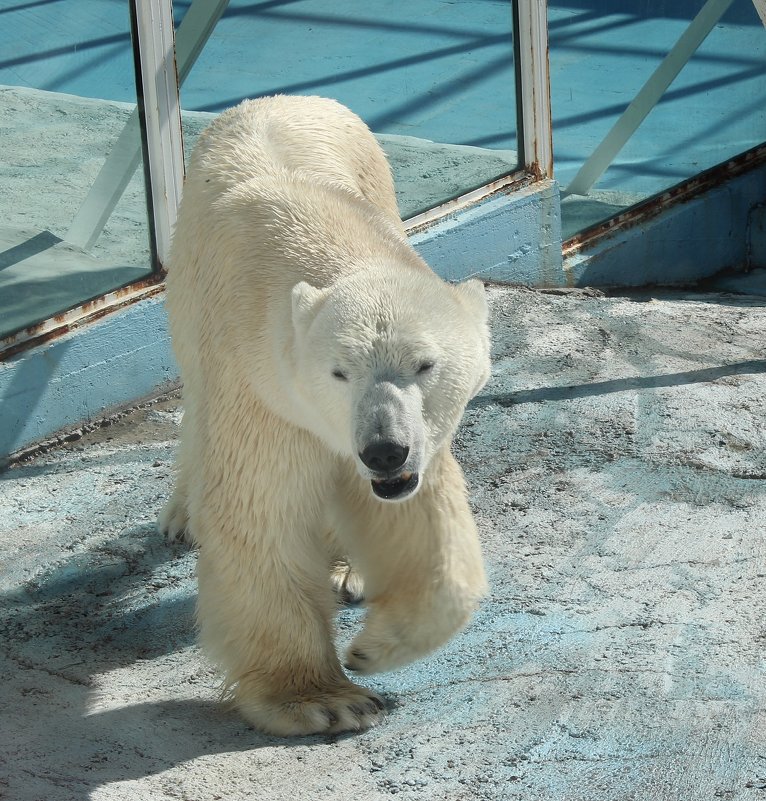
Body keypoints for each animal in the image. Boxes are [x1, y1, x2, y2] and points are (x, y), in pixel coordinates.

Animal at [161, 97, 492, 736]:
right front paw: (325, 700)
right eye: (339, 372)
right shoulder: (260, 382)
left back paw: (347, 571)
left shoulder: (415, 440)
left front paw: (375, 647)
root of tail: (283, 98)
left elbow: (420, 521)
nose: (384, 451)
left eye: (425, 364)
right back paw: (179, 515)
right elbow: (259, 512)